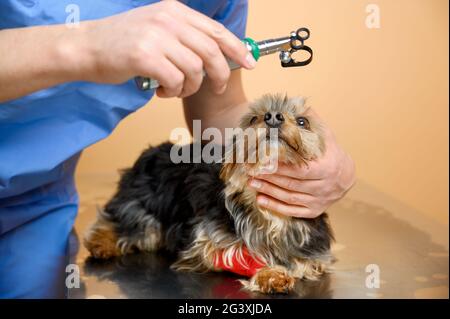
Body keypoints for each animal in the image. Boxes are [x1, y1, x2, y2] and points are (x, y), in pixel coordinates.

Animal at [83, 95, 334, 296]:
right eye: (253, 119)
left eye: (303, 121)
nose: (273, 116)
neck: (266, 212)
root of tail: (149, 153)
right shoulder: (209, 242)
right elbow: (240, 255)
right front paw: (269, 274)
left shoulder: (313, 256)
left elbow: (301, 263)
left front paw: (273, 272)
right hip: (144, 206)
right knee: (122, 221)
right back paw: (101, 243)